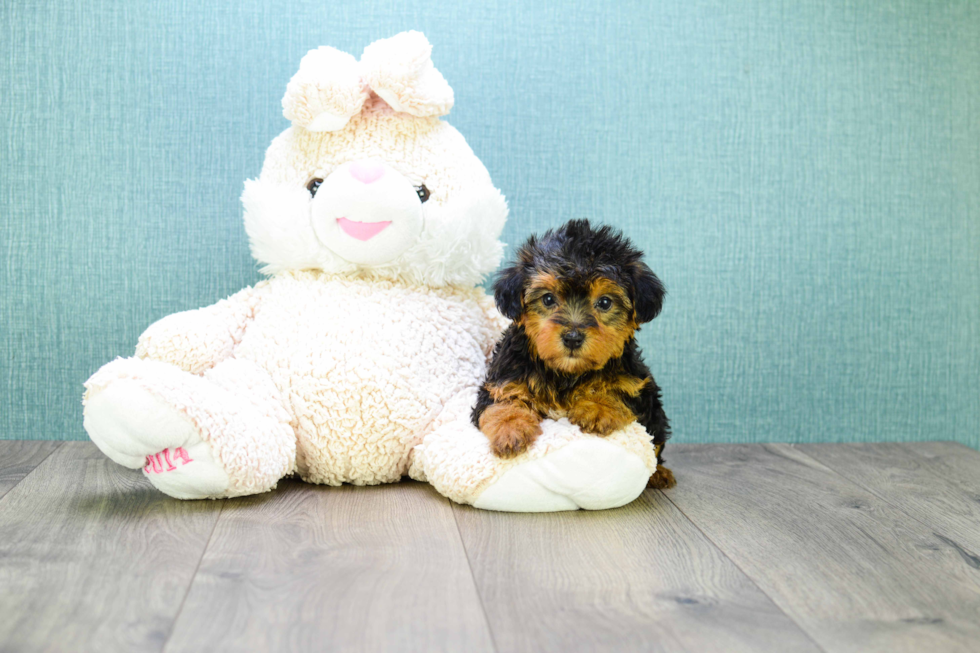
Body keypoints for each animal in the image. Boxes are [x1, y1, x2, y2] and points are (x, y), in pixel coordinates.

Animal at [472, 220, 672, 488]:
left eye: (605, 302)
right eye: (548, 299)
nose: (573, 337)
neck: (566, 372)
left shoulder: (636, 383)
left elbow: (619, 389)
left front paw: (598, 406)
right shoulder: (505, 378)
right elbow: (502, 403)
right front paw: (510, 430)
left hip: (656, 415)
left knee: (656, 441)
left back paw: (659, 474)